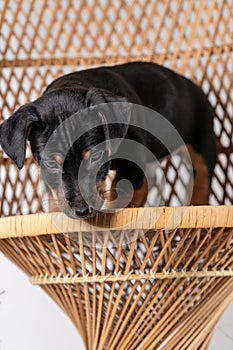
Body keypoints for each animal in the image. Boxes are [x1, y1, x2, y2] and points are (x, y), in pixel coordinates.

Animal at [0, 61, 217, 217]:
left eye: (96, 156)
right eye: (51, 164)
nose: (82, 212)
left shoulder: (133, 154)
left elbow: (124, 187)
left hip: (203, 141)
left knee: (202, 177)